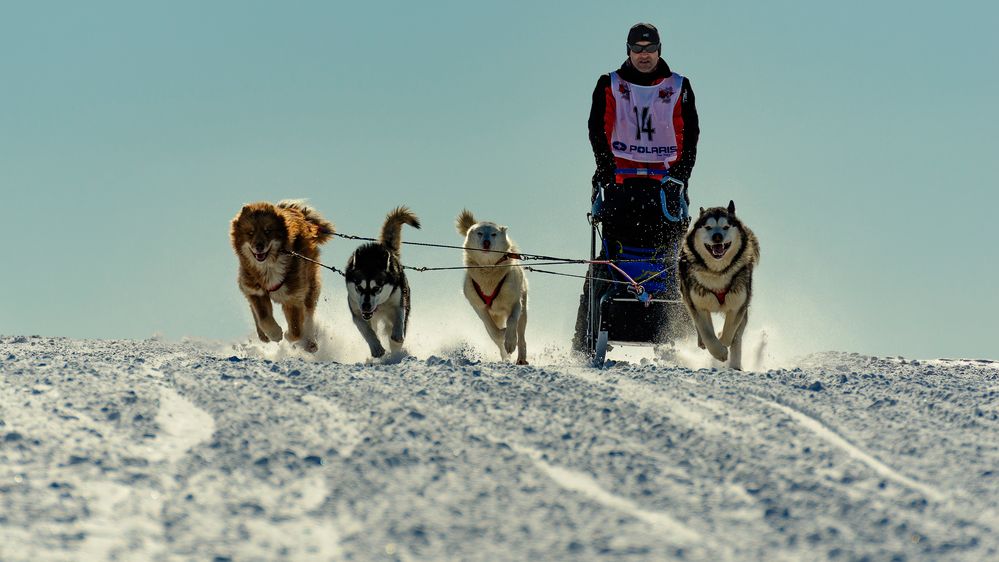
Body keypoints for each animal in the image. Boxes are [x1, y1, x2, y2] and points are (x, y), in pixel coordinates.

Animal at [229, 200, 334, 350]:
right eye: (250, 232)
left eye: (268, 231)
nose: (259, 246)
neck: (269, 266)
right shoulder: (256, 291)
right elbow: (263, 318)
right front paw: (275, 334)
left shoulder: (293, 297)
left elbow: (296, 331)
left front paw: (288, 336)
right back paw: (263, 335)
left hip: (310, 284)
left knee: (309, 314)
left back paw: (310, 342)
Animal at [456, 208, 528, 360]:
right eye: (480, 233)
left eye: (494, 234)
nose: (486, 242)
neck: (489, 270)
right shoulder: (480, 307)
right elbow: (494, 331)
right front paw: (503, 335)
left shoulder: (515, 302)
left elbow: (512, 321)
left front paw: (510, 341)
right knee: (496, 337)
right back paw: (505, 355)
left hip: (524, 311)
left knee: (521, 335)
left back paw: (521, 357)